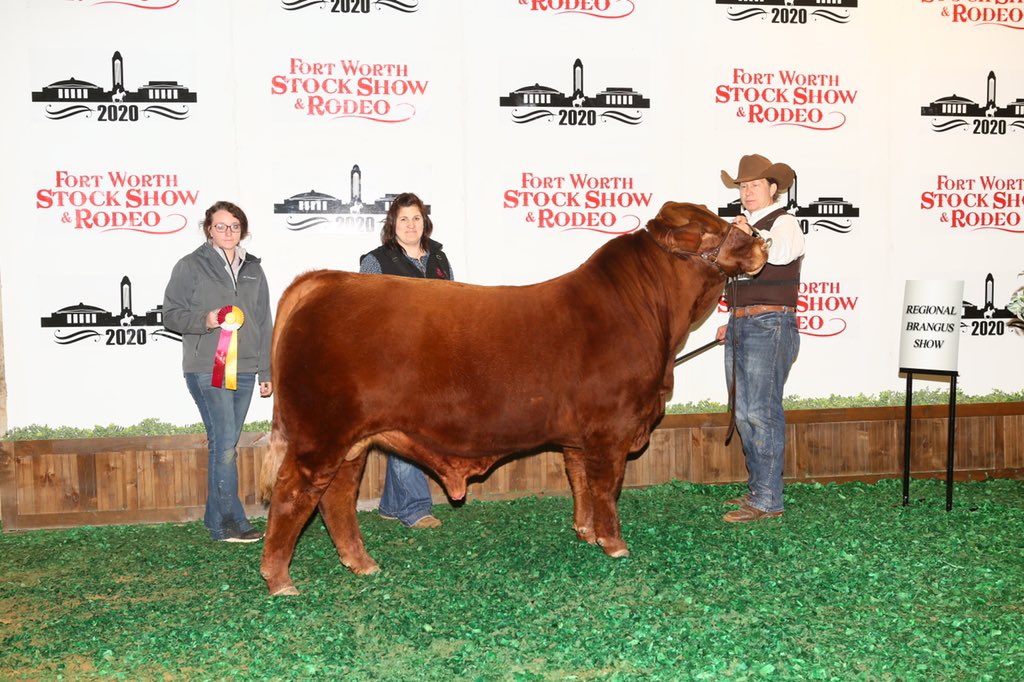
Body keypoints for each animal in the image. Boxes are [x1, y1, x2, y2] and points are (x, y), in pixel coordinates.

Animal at [259, 201, 768, 596]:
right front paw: (614, 544)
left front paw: (585, 532)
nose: (761, 242)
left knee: (337, 498)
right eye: (713, 228)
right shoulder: (611, 429)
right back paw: (279, 579)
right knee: (293, 495)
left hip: (351, 441)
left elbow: (580, 482)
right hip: (319, 435)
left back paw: (361, 563)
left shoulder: (580, 438)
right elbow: (606, 487)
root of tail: (324, 281)